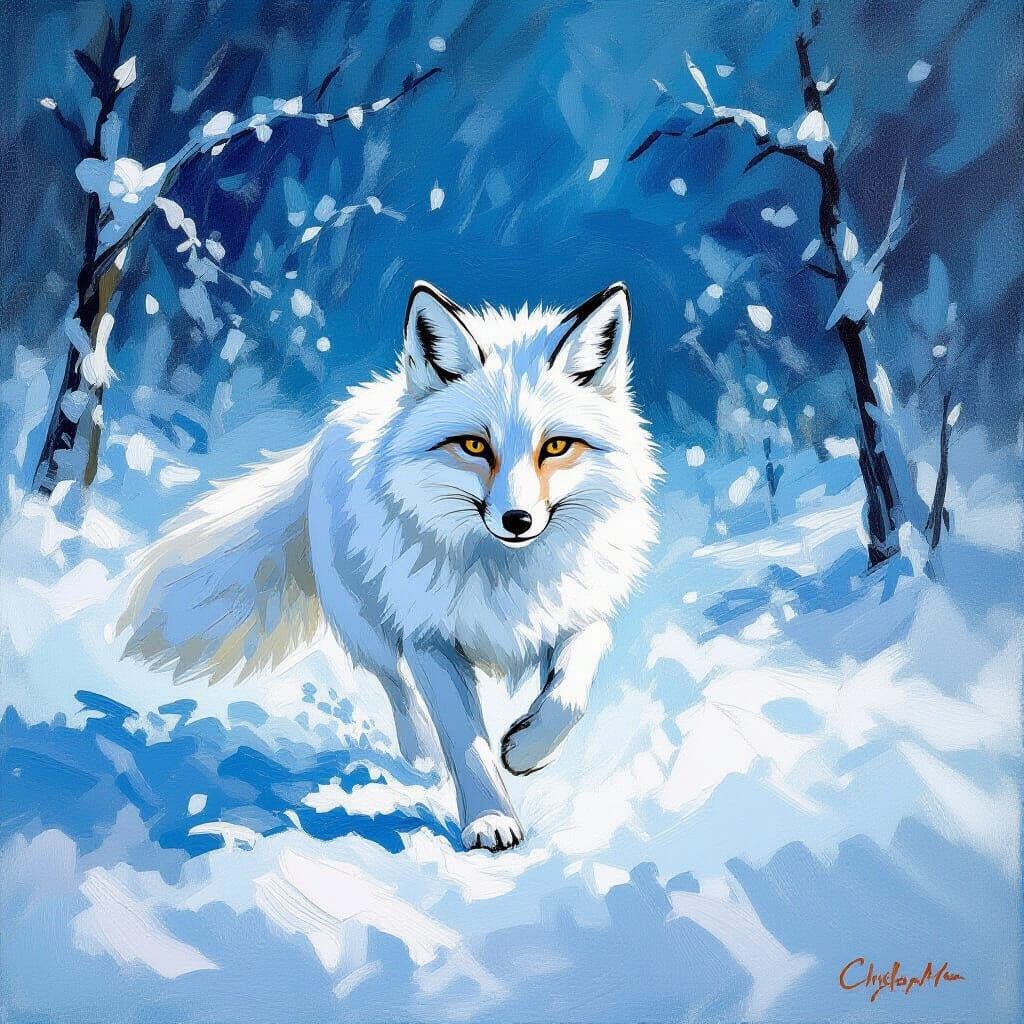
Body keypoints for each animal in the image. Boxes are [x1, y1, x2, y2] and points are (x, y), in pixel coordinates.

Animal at [118, 281, 660, 852]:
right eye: (474, 445)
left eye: (555, 446)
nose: (518, 520)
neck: (503, 575)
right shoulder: (430, 639)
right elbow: (466, 742)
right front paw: (489, 818)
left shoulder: (577, 613)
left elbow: (568, 698)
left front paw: (528, 750)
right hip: (366, 624)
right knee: (394, 685)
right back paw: (421, 755)